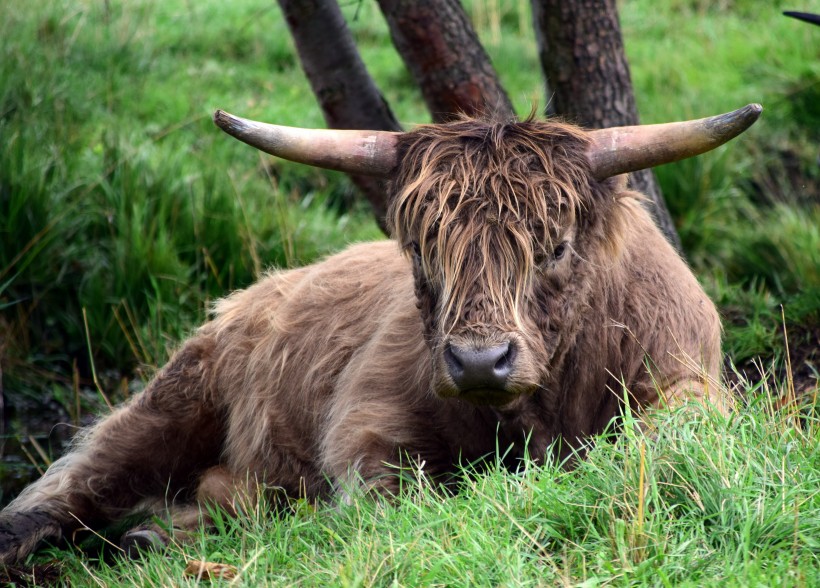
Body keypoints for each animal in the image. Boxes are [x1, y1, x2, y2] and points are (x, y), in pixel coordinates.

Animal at [0, 103, 764, 564]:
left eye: (555, 247)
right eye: (423, 250)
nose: (479, 362)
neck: (531, 412)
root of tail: (249, 297)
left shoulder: (687, 378)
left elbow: (664, 436)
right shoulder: (367, 416)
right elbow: (388, 491)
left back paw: (163, 531)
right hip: (171, 401)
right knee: (77, 478)